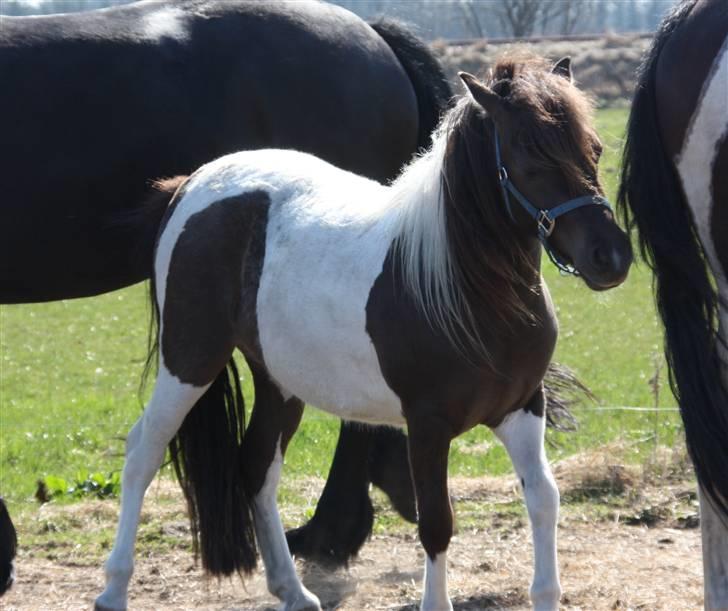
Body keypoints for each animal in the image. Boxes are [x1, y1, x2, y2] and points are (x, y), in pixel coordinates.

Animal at [95, 55, 632, 611]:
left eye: (593, 149)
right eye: (529, 155)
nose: (610, 256)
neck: (463, 287)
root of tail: (191, 185)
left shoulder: (522, 408)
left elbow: (544, 498)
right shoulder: (427, 426)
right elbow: (436, 523)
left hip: (279, 380)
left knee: (258, 468)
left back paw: (294, 591)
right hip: (189, 360)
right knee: (144, 451)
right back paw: (114, 588)